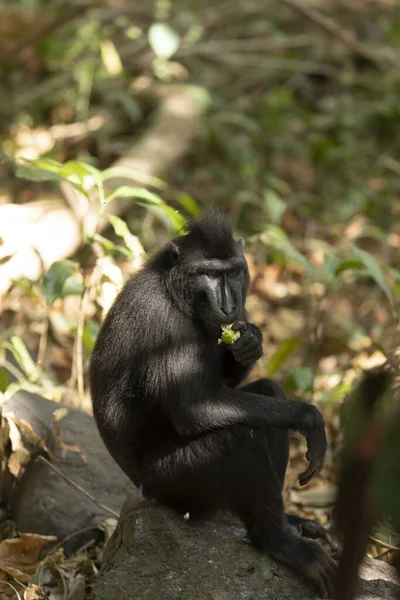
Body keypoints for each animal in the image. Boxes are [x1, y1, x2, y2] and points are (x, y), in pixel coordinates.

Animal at [90, 206, 338, 596]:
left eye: (233, 272)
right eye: (209, 274)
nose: (229, 304)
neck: (175, 293)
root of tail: (141, 488)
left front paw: (250, 342)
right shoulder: (164, 323)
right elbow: (194, 409)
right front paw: (309, 417)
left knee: (269, 395)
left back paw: (287, 522)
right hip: (175, 485)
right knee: (237, 438)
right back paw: (277, 541)